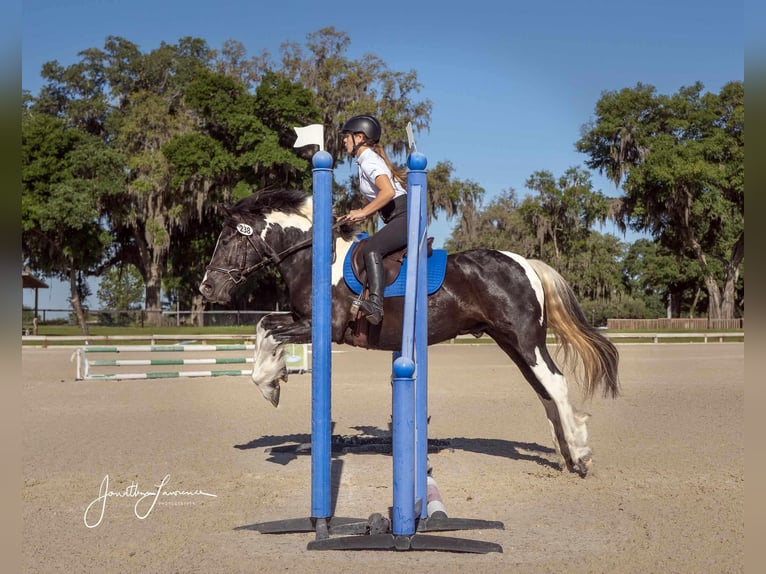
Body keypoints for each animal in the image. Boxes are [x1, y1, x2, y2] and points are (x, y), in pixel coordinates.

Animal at [201, 188, 620, 476]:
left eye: (230, 239)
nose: (207, 288)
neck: (313, 257)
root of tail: (525, 263)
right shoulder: (299, 319)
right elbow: (263, 326)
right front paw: (274, 379)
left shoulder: (323, 327)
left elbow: (270, 334)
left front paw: (270, 384)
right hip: (511, 343)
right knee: (545, 391)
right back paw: (566, 455)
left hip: (525, 340)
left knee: (556, 384)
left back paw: (580, 456)